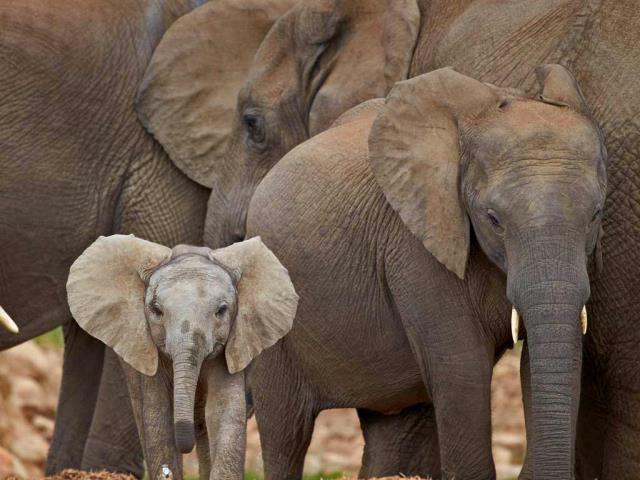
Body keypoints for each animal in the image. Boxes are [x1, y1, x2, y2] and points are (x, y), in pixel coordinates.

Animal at [244, 66, 606, 479]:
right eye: (493, 219)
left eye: (596, 214)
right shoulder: (415, 248)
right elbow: (462, 371)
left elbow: (540, 361)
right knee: (285, 433)